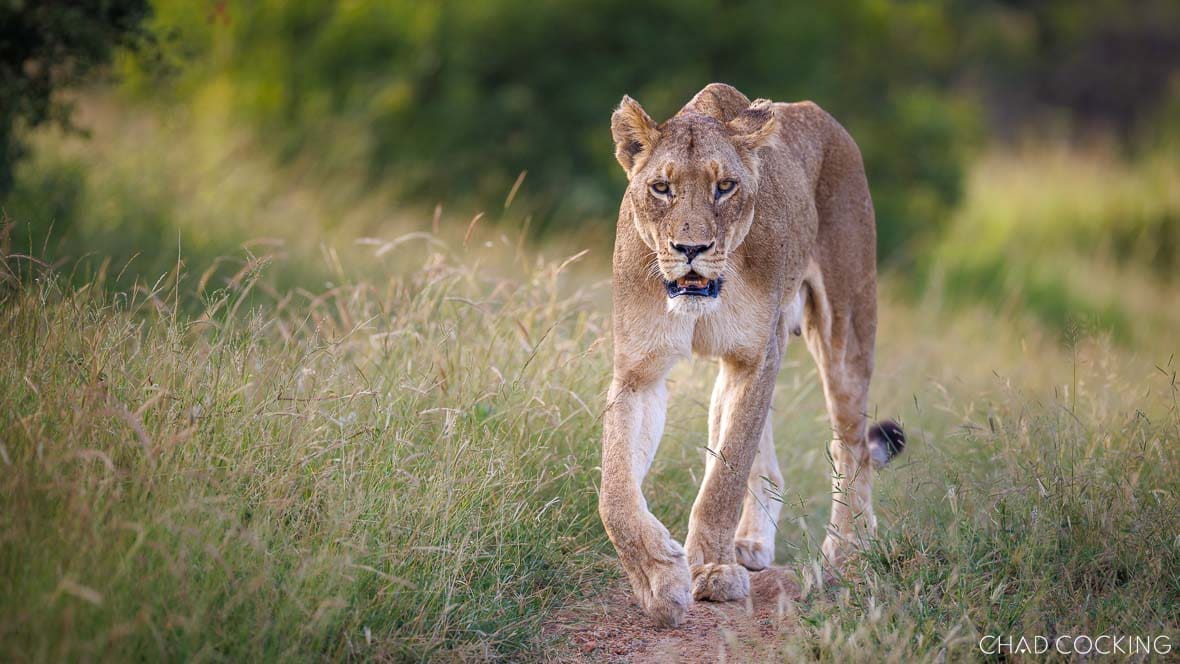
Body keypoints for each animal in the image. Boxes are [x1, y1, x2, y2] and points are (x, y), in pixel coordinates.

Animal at [598, 83, 905, 627]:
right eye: (661, 187)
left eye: (725, 187)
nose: (691, 248)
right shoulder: (640, 372)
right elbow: (615, 492)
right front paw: (660, 578)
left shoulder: (757, 356)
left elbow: (725, 476)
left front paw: (711, 571)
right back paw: (752, 544)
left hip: (845, 330)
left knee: (849, 446)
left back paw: (846, 552)